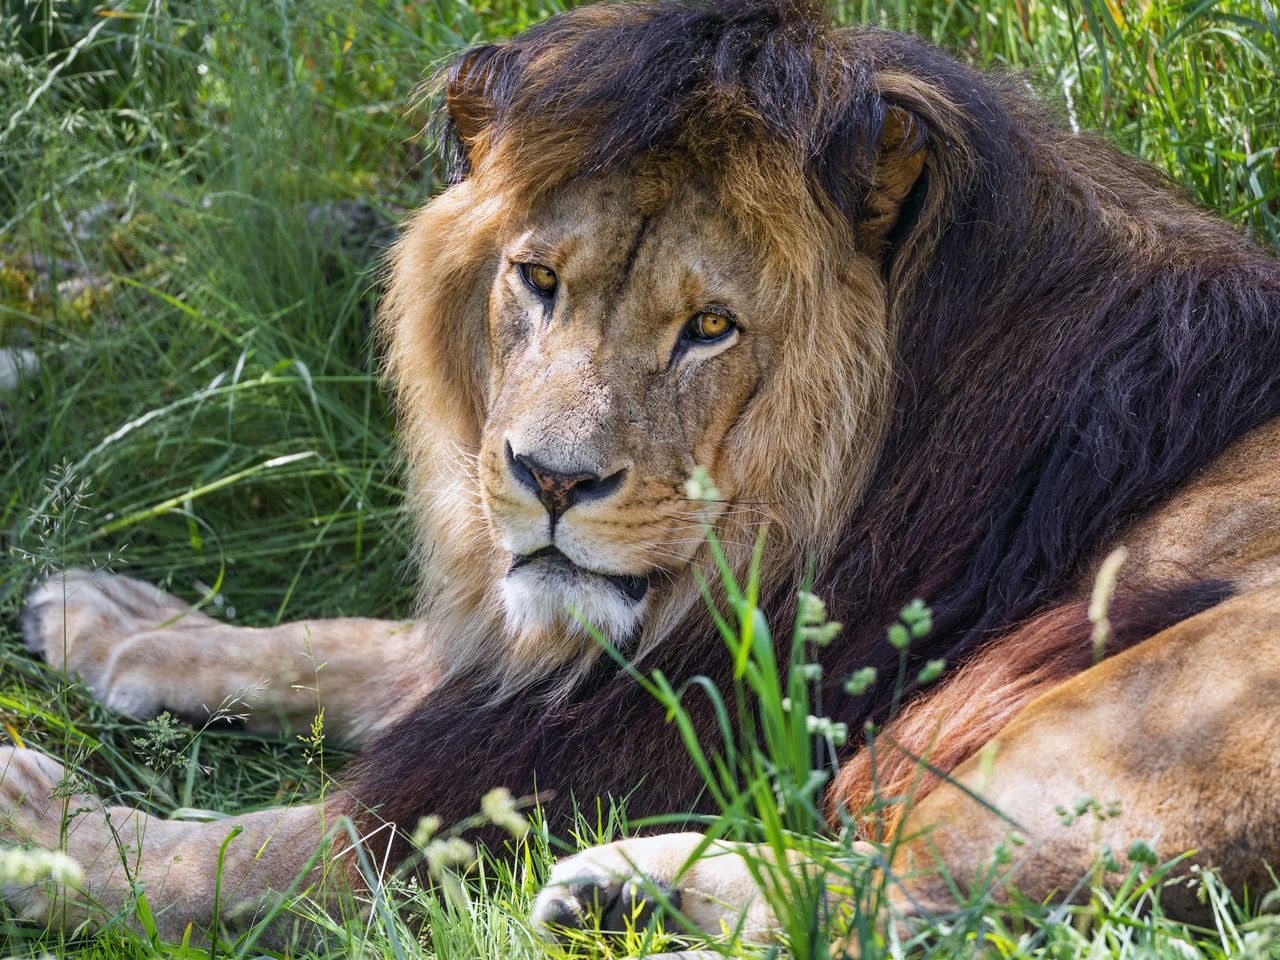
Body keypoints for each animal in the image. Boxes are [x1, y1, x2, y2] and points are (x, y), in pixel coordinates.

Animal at [5, 0, 1280, 947]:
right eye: (536, 279)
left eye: (709, 328)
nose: (548, 480)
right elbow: (349, 646)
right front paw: (118, 624)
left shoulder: (614, 744)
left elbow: (242, 855)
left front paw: (45, 830)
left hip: (1161, 707)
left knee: (916, 903)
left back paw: (629, 890)